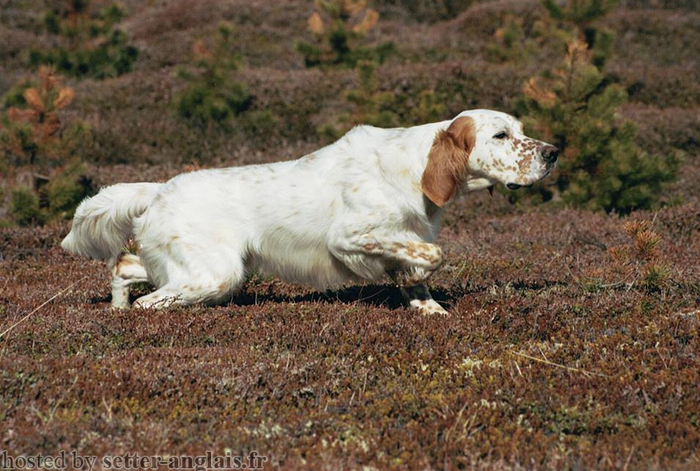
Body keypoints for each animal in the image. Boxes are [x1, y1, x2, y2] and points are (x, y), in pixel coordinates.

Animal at [64, 110, 556, 316]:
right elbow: (432, 255)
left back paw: (115, 308)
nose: (553, 153)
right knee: (149, 300)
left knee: (125, 266)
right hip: (217, 275)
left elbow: (417, 275)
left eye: (521, 129)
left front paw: (430, 310)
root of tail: (161, 189)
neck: (412, 169)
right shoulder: (352, 237)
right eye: (500, 135)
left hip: (195, 270)